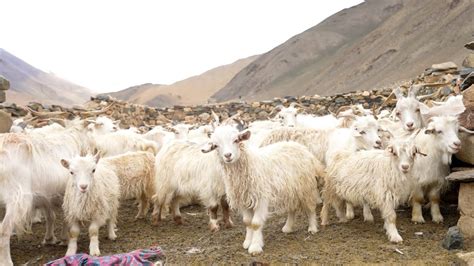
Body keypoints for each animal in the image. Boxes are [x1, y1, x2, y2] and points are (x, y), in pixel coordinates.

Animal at [202, 126, 324, 256]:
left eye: (236, 140)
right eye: (216, 145)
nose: (228, 155)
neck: (250, 164)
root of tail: (303, 149)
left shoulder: (261, 198)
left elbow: (256, 223)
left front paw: (255, 247)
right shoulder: (244, 200)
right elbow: (247, 222)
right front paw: (247, 242)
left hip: (306, 187)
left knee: (310, 208)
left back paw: (312, 228)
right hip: (290, 189)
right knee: (292, 209)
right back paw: (287, 227)